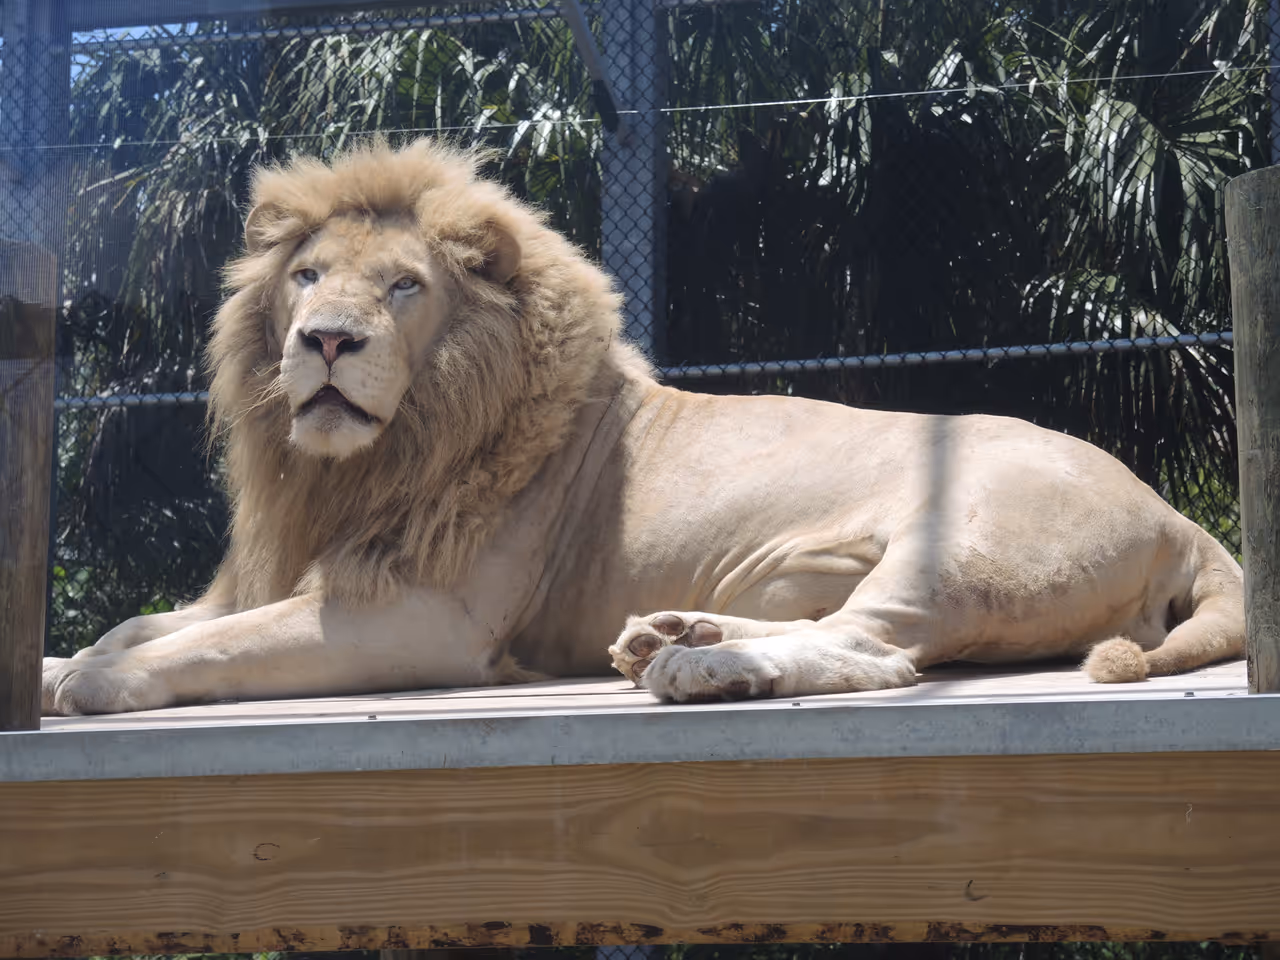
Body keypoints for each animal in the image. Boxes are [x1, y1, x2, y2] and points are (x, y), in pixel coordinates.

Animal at [41, 138, 1245, 716]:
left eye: (402, 289)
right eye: (304, 277)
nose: (325, 339)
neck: (371, 460)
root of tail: (1176, 514)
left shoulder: (422, 617)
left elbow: (203, 644)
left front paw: (86, 683)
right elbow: (145, 623)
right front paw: (71, 655)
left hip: (959, 535)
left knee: (875, 650)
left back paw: (696, 671)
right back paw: (672, 636)